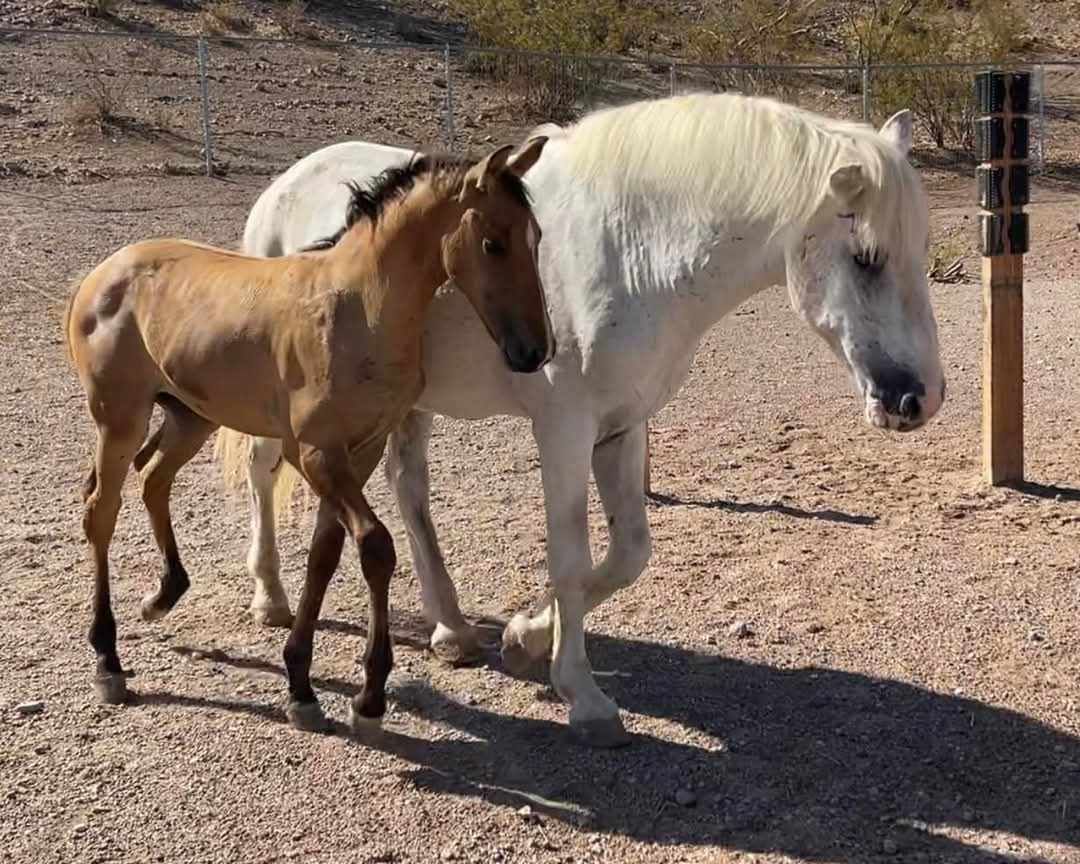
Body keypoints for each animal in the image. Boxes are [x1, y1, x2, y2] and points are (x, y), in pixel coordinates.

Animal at [63, 138, 552, 734]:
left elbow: (326, 554)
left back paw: (163, 596)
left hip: (189, 416)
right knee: (101, 510)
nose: (534, 351)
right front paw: (369, 697)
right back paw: (108, 662)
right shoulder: (317, 454)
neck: (359, 308)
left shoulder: (358, 453)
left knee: (154, 478)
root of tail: (102, 273)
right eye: (492, 243)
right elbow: (376, 548)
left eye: (536, 237)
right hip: (120, 418)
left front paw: (302, 685)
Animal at [214, 91, 941, 747]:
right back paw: (270, 596)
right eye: (867, 258)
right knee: (262, 468)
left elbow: (627, 555)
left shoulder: (622, 427)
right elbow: (570, 556)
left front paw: (524, 636)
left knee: (407, 488)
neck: (632, 252)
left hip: (405, 404)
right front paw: (584, 696)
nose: (919, 399)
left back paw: (452, 628)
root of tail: (286, 184)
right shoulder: (563, 431)